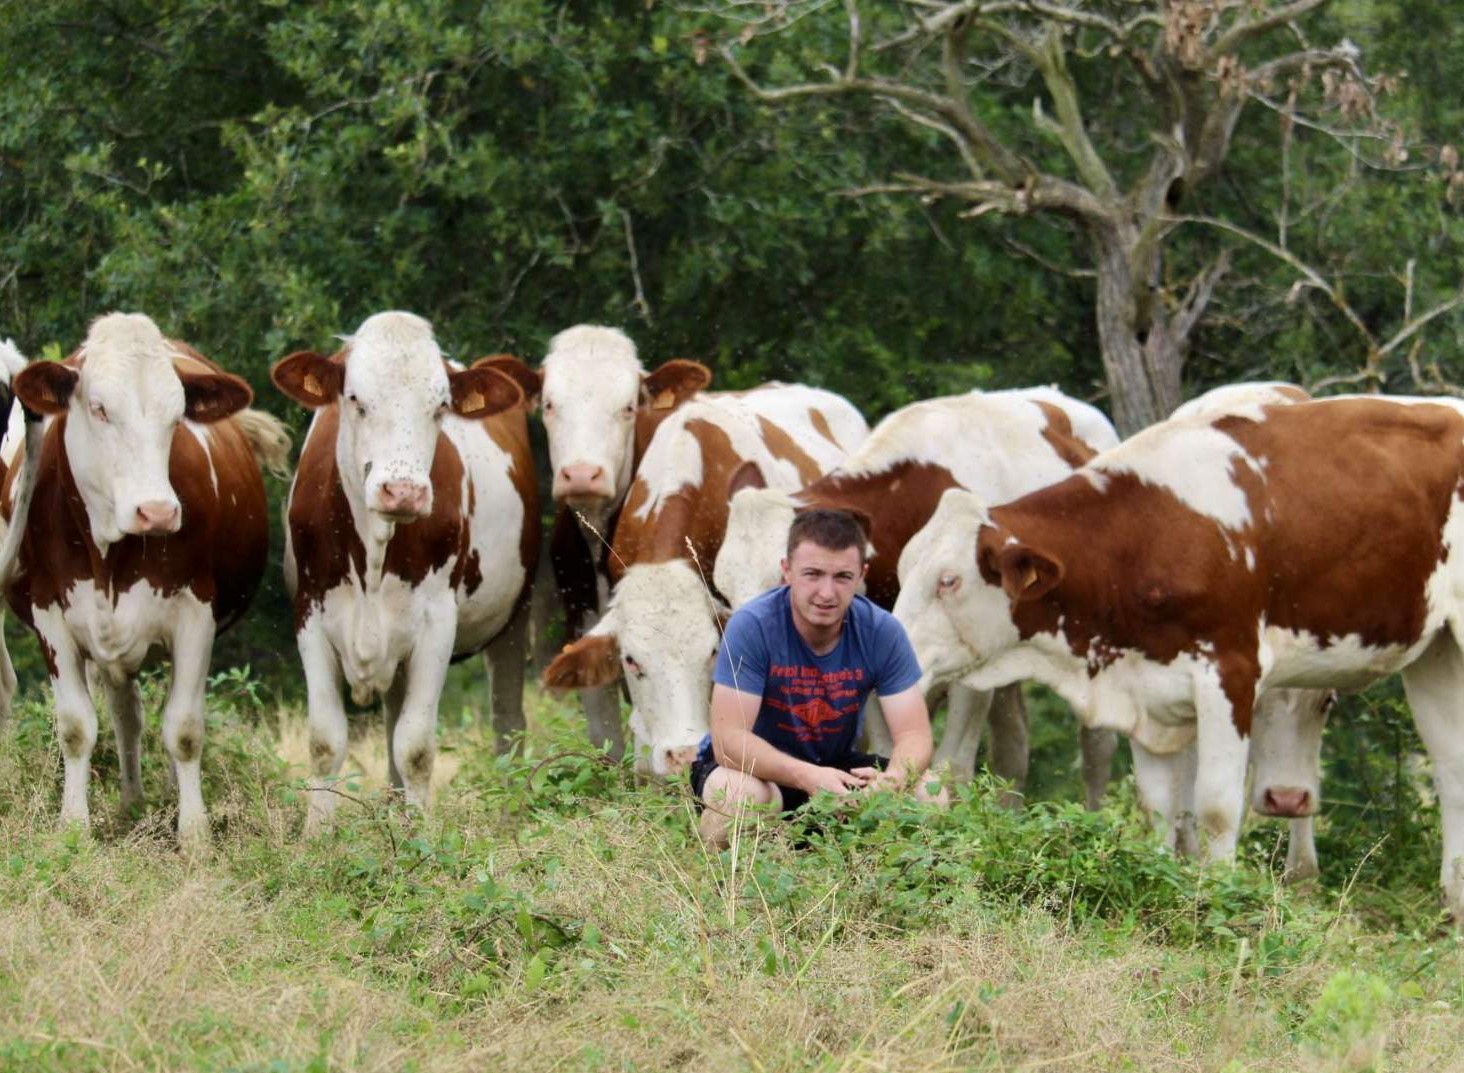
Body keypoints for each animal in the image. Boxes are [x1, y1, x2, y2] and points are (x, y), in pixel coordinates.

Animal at [0, 311, 288, 843]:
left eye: (177, 416)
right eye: (99, 408)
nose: (156, 511)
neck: (108, 553)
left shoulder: (196, 617)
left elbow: (184, 729)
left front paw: (194, 834)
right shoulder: (51, 617)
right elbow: (75, 727)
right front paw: (74, 826)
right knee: (125, 715)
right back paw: (131, 804)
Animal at [272, 307, 535, 831]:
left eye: (440, 406)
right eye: (355, 398)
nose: (403, 491)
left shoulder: (437, 623)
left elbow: (415, 747)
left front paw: (421, 834)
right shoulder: (309, 613)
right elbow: (325, 739)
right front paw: (316, 834)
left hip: (513, 619)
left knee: (506, 720)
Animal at [711, 386, 1118, 796]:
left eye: (782, 579)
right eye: (723, 593)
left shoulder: (968, 667)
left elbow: (950, 767)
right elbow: (888, 748)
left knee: (1097, 751)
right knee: (1012, 748)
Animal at [890, 392, 1464, 913]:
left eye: (948, 580)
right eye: (901, 571)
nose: (897, 650)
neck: (1143, 538)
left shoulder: (1230, 671)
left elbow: (1215, 806)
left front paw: (1220, 899)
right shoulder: (1146, 690)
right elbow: (1160, 806)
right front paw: (1168, 887)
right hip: (1437, 655)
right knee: (1451, 764)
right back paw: (1453, 907)